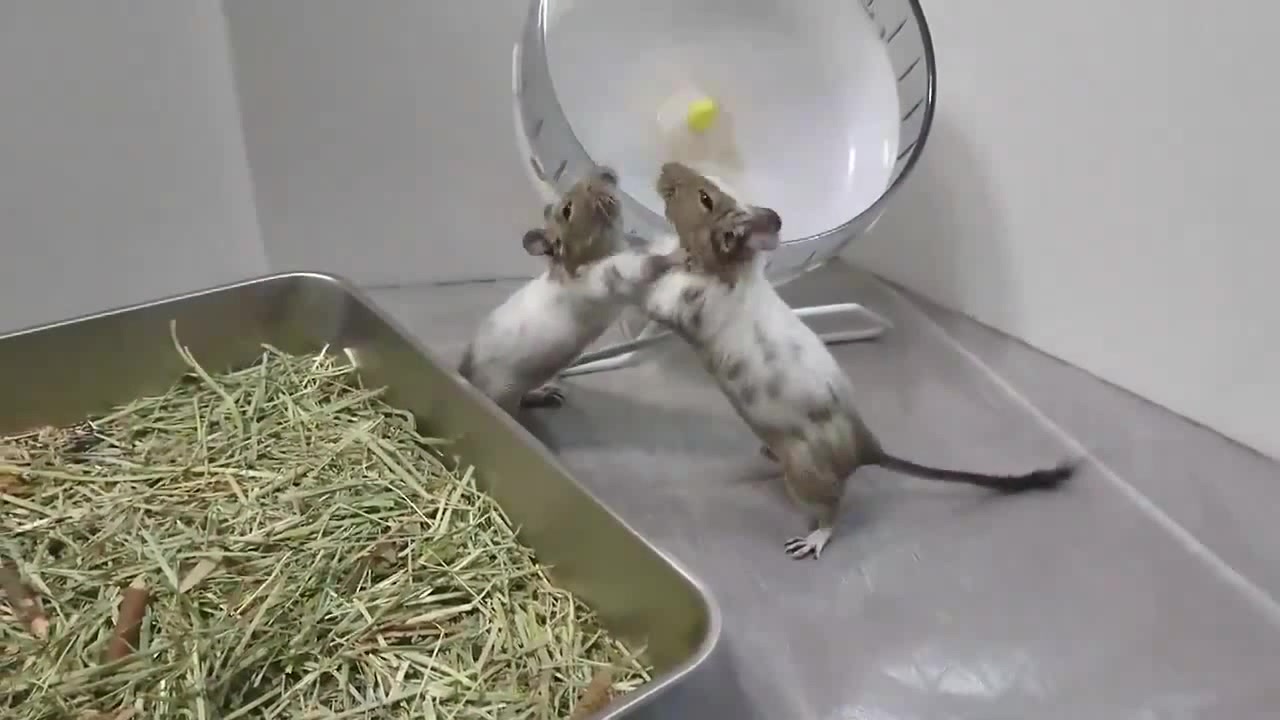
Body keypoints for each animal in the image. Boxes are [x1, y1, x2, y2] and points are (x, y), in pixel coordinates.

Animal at [459, 165, 687, 415]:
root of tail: (464, 374)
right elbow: (641, 267)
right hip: (501, 394)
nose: (605, 171)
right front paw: (677, 254)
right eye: (567, 210)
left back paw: (543, 394)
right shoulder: (601, 277)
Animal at [640, 162, 1076, 560]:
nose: (665, 167)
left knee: (834, 507)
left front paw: (653, 260)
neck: (737, 268)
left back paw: (813, 539)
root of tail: (868, 449)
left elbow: (661, 298)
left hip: (805, 477)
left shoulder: (689, 304)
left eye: (705, 198)